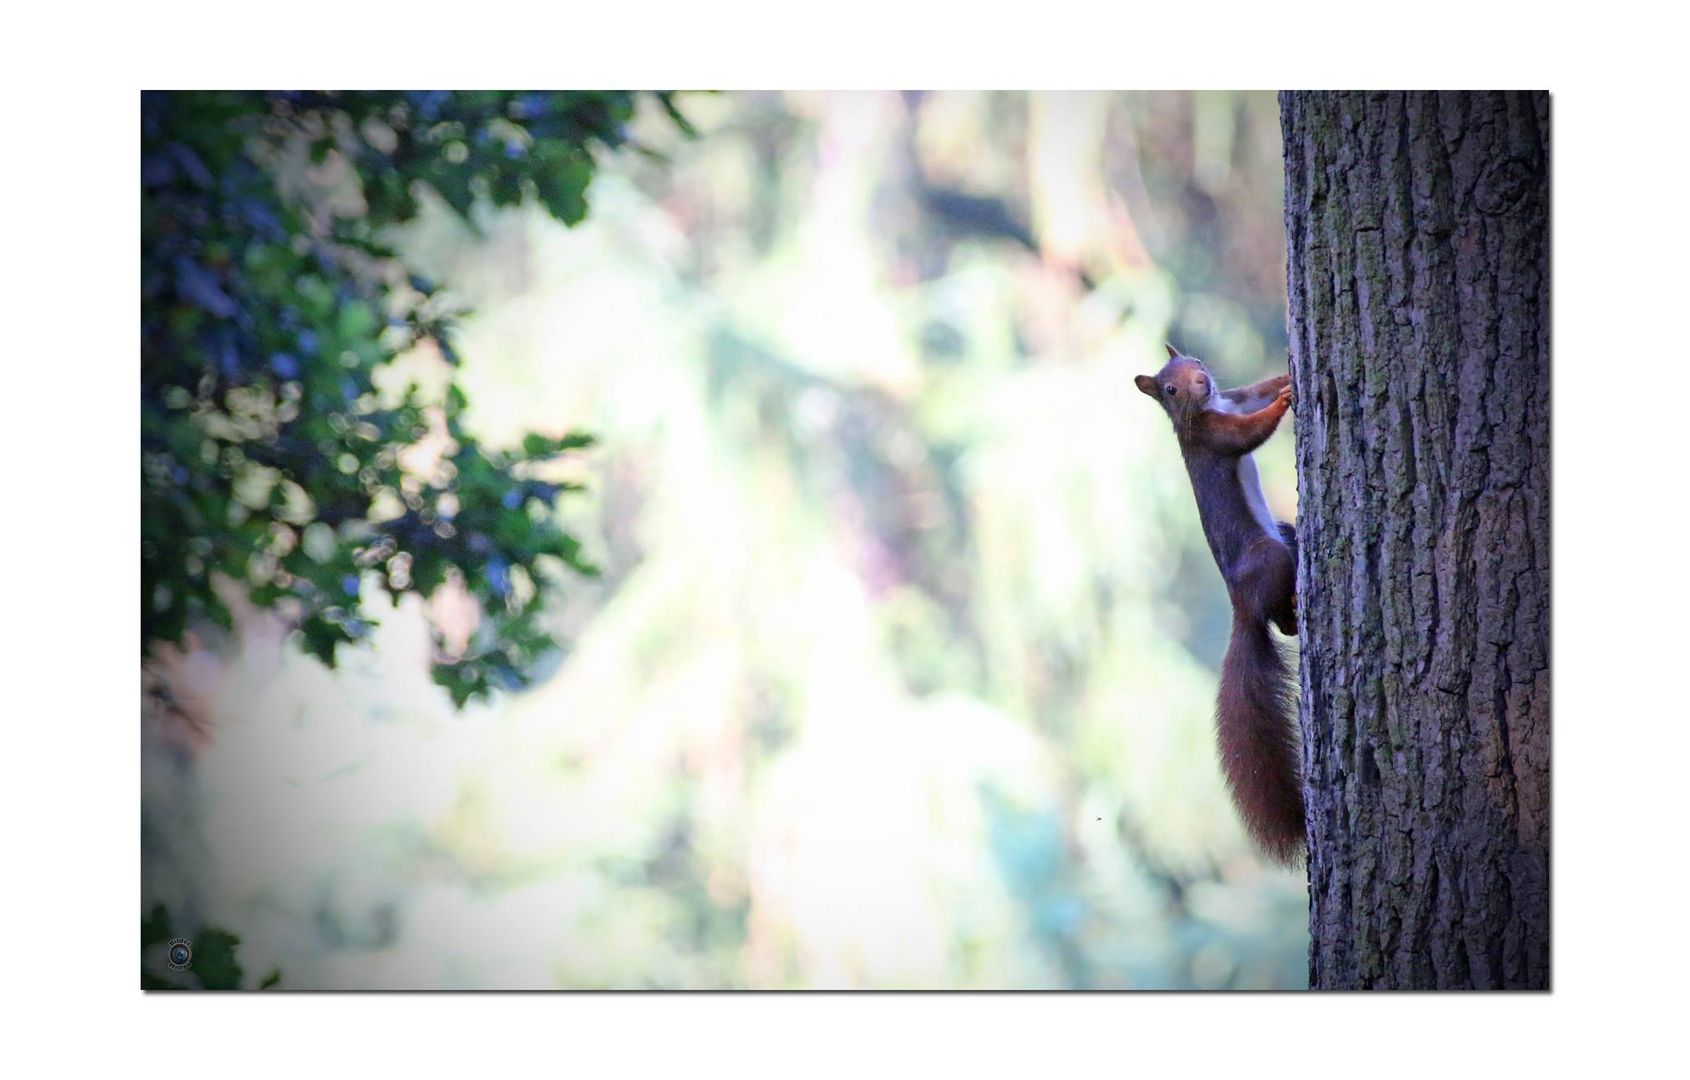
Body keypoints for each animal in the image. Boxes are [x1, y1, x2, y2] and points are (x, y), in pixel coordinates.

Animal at [1135, 341, 1304, 865]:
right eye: (1170, 389)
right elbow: (1249, 434)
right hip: (1269, 556)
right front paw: (1284, 403)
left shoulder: (1233, 398)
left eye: (1197, 364)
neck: (1209, 408)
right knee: (1280, 615)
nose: (1201, 383)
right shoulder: (1214, 436)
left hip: (1285, 535)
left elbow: (1254, 392)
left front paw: (1285, 373)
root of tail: (1241, 604)